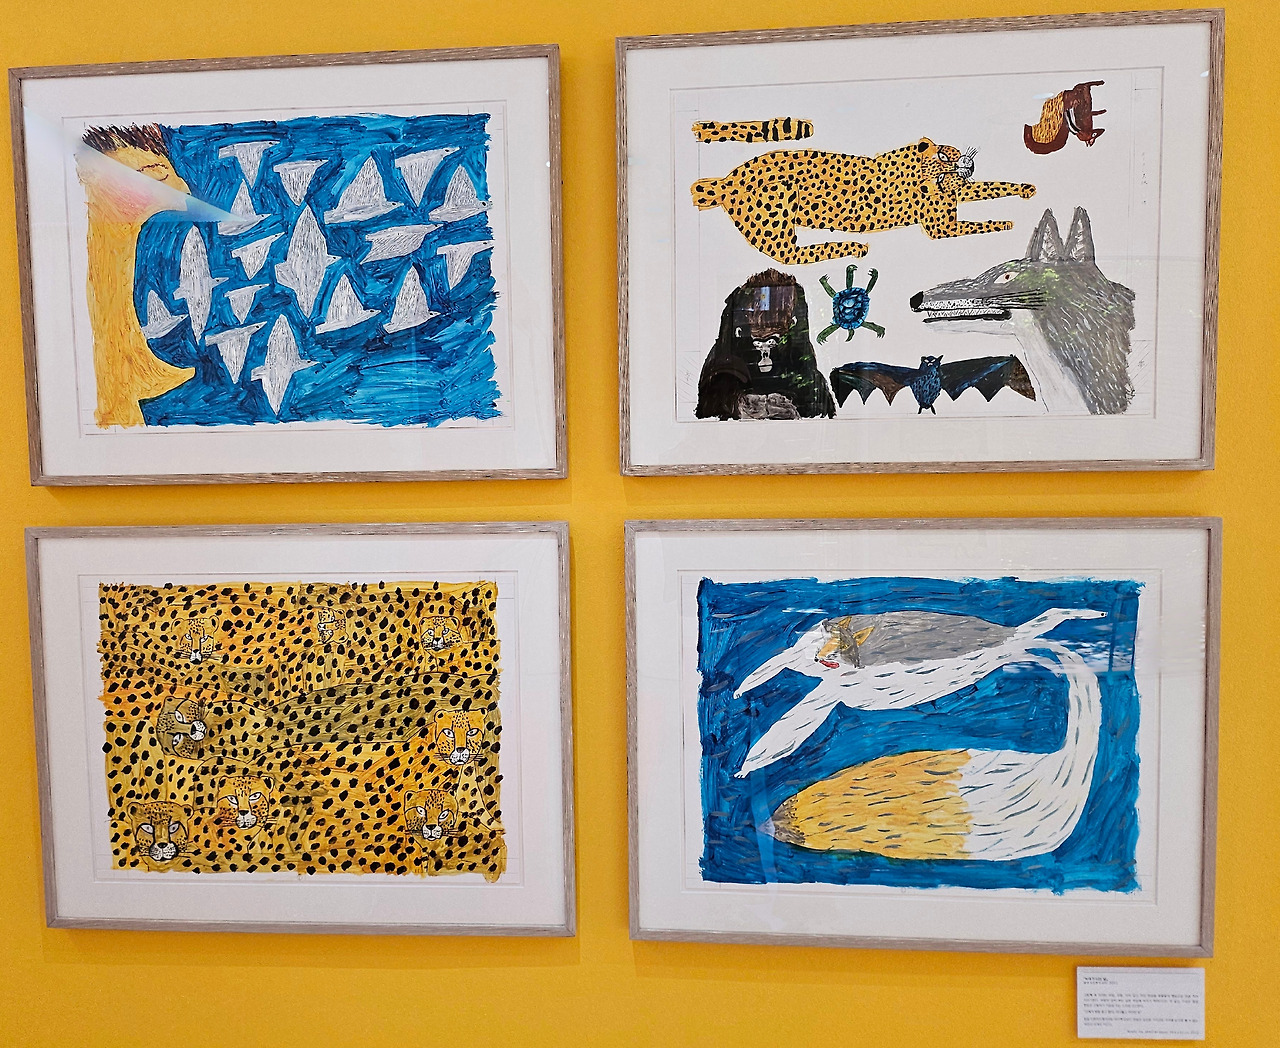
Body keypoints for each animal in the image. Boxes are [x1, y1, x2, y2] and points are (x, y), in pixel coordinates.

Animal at [690, 123, 1036, 265]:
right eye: (941, 156)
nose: (965, 164)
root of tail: (726, 180)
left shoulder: (956, 194)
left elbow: (993, 186)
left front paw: (1025, 189)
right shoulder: (942, 228)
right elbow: (979, 224)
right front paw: (1006, 223)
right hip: (777, 215)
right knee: (793, 255)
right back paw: (855, 247)